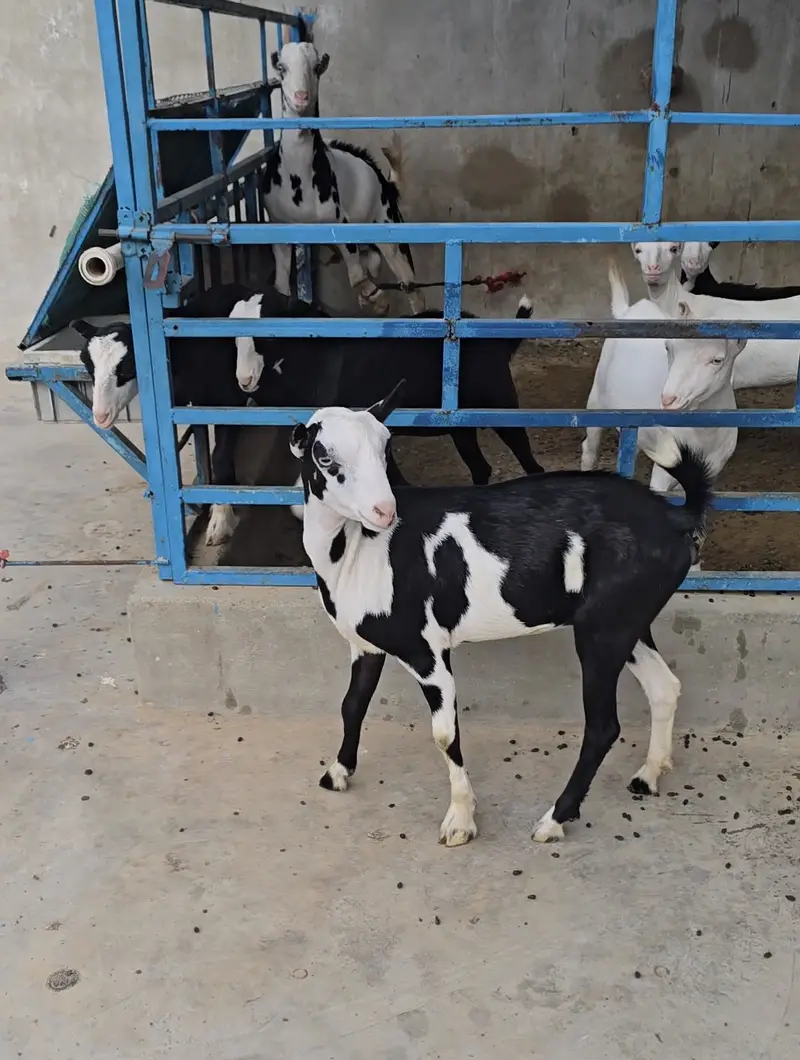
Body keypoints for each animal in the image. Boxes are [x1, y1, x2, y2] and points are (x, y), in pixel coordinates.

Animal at [71, 284, 325, 546]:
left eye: (128, 366)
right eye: (87, 365)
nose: (100, 416)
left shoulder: (228, 401)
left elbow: (220, 457)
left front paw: (220, 520)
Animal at [241, 295, 544, 486]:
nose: (245, 382)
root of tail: (501, 344)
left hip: (502, 409)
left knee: (530, 463)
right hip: (462, 429)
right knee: (481, 468)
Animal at [264, 41, 424, 316]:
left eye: (317, 67)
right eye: (282, 68)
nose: (301, 97)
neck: (298, 180)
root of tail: (386, 183)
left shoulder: (341, 224)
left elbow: (358, 278)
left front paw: (380, 301)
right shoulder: (280, 228)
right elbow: (281, 287)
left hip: (389, 227)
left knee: (410, 286)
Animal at [291, 382, 713, 846]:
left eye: (387, 449)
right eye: (324, 457)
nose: (384, 510)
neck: (358, 548)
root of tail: (677, 517)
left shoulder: (427, 651)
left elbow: (444, 735)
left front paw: (460, 820)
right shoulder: (365, 644)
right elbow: (353, 703)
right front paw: (337, 772)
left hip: (605, 627)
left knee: (604, 727)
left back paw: (554, 819)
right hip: (627, 620)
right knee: (664, 686)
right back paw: (649, 775)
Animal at [582, 264, 747, 493]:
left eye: (717, 360)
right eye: (668, 347)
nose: (668, 399)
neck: (703, 434)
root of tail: (627, 310)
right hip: (597, 397)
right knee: (589, 447)